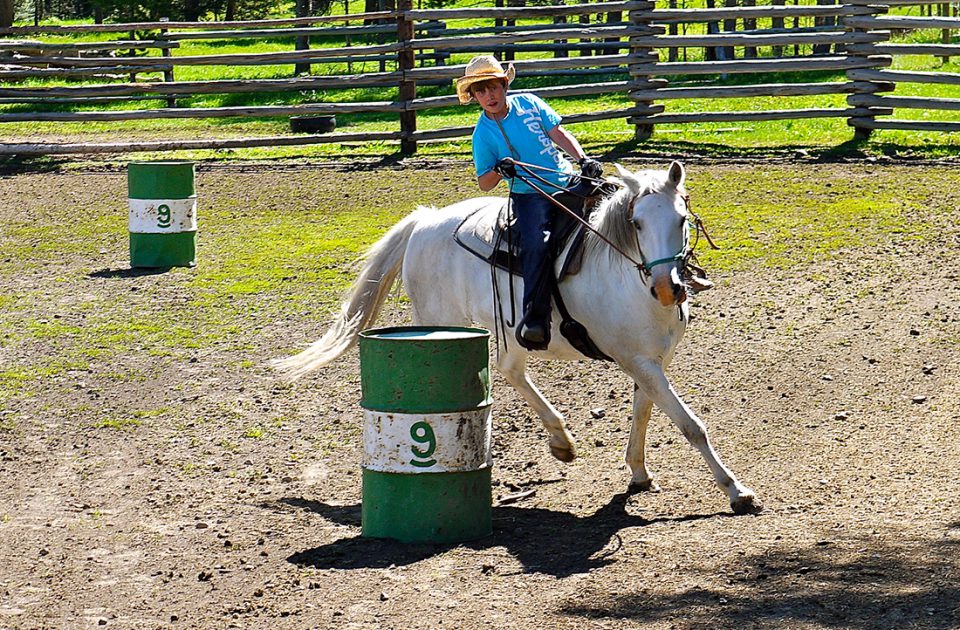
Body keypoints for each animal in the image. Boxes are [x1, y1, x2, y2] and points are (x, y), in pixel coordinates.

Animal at [278, 160, 764, 516]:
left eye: (681, 219)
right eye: (637, 222)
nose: (668, 287)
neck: (624, 275)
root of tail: (425, 222)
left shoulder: (651, 361)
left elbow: (644, 414)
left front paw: (639, 473)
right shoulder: (638, 361)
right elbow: (690, 425)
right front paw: (737, 492)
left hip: (508, 330)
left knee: (511, 371)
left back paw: (561, 441)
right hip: (443, 322)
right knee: (498, 371)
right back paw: (559, 440)